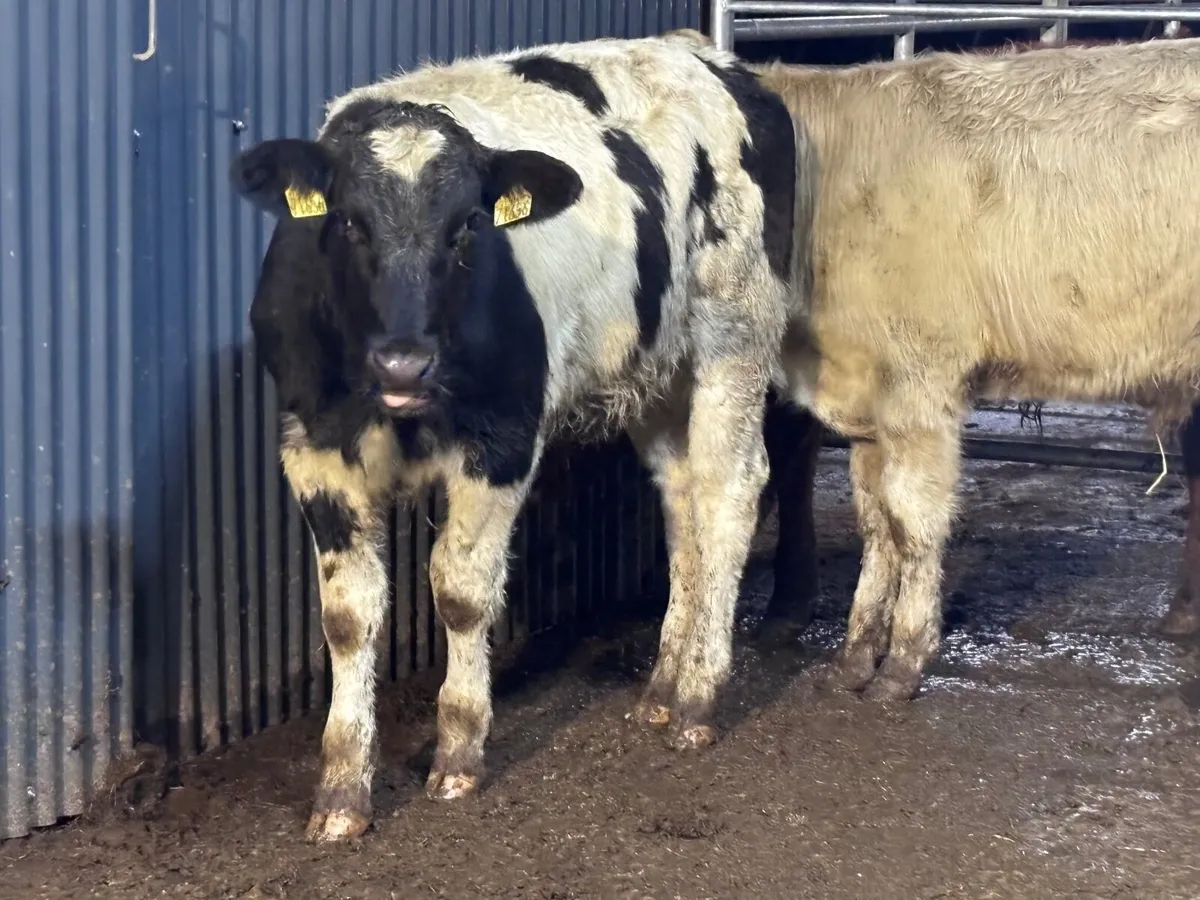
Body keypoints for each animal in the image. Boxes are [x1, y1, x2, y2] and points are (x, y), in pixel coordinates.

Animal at [229, 35, 814, 842]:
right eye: (346, 222)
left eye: (468, 228)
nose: (404, 361)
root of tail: (712, 58)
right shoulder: (313, 447)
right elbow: (347, 618)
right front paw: (342, 790)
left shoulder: (504, 439)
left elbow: (461, 591)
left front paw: (458, 750)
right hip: (656, 367)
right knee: (683, 502)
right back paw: (664, 684)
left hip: (736, 335)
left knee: (730, 491)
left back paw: (699, 695)